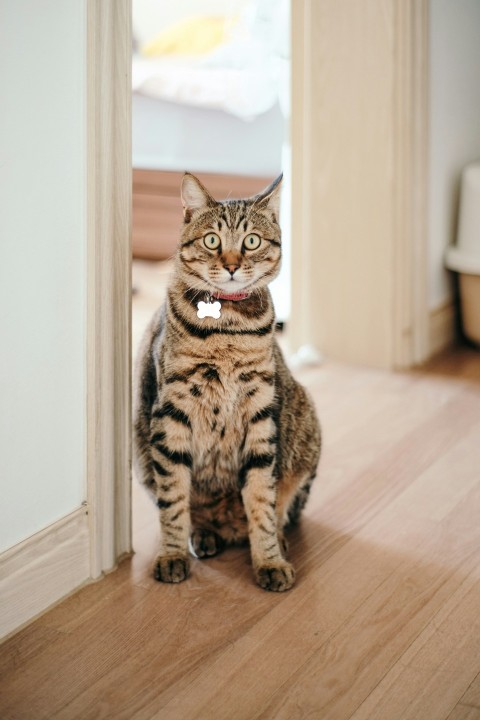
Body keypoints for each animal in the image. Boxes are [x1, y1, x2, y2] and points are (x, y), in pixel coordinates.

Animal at [133, 173, 320, 592]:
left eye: (251, 241)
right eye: (211, 240)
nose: (233, 265)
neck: (229, 328)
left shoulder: (260, 411)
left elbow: (262, 500)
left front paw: (268, 559)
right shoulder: (171, 414)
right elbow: (173, 498)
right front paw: (171, 555)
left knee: (279, 509)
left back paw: (272, 538)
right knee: (191, 509)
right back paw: (203, 535)